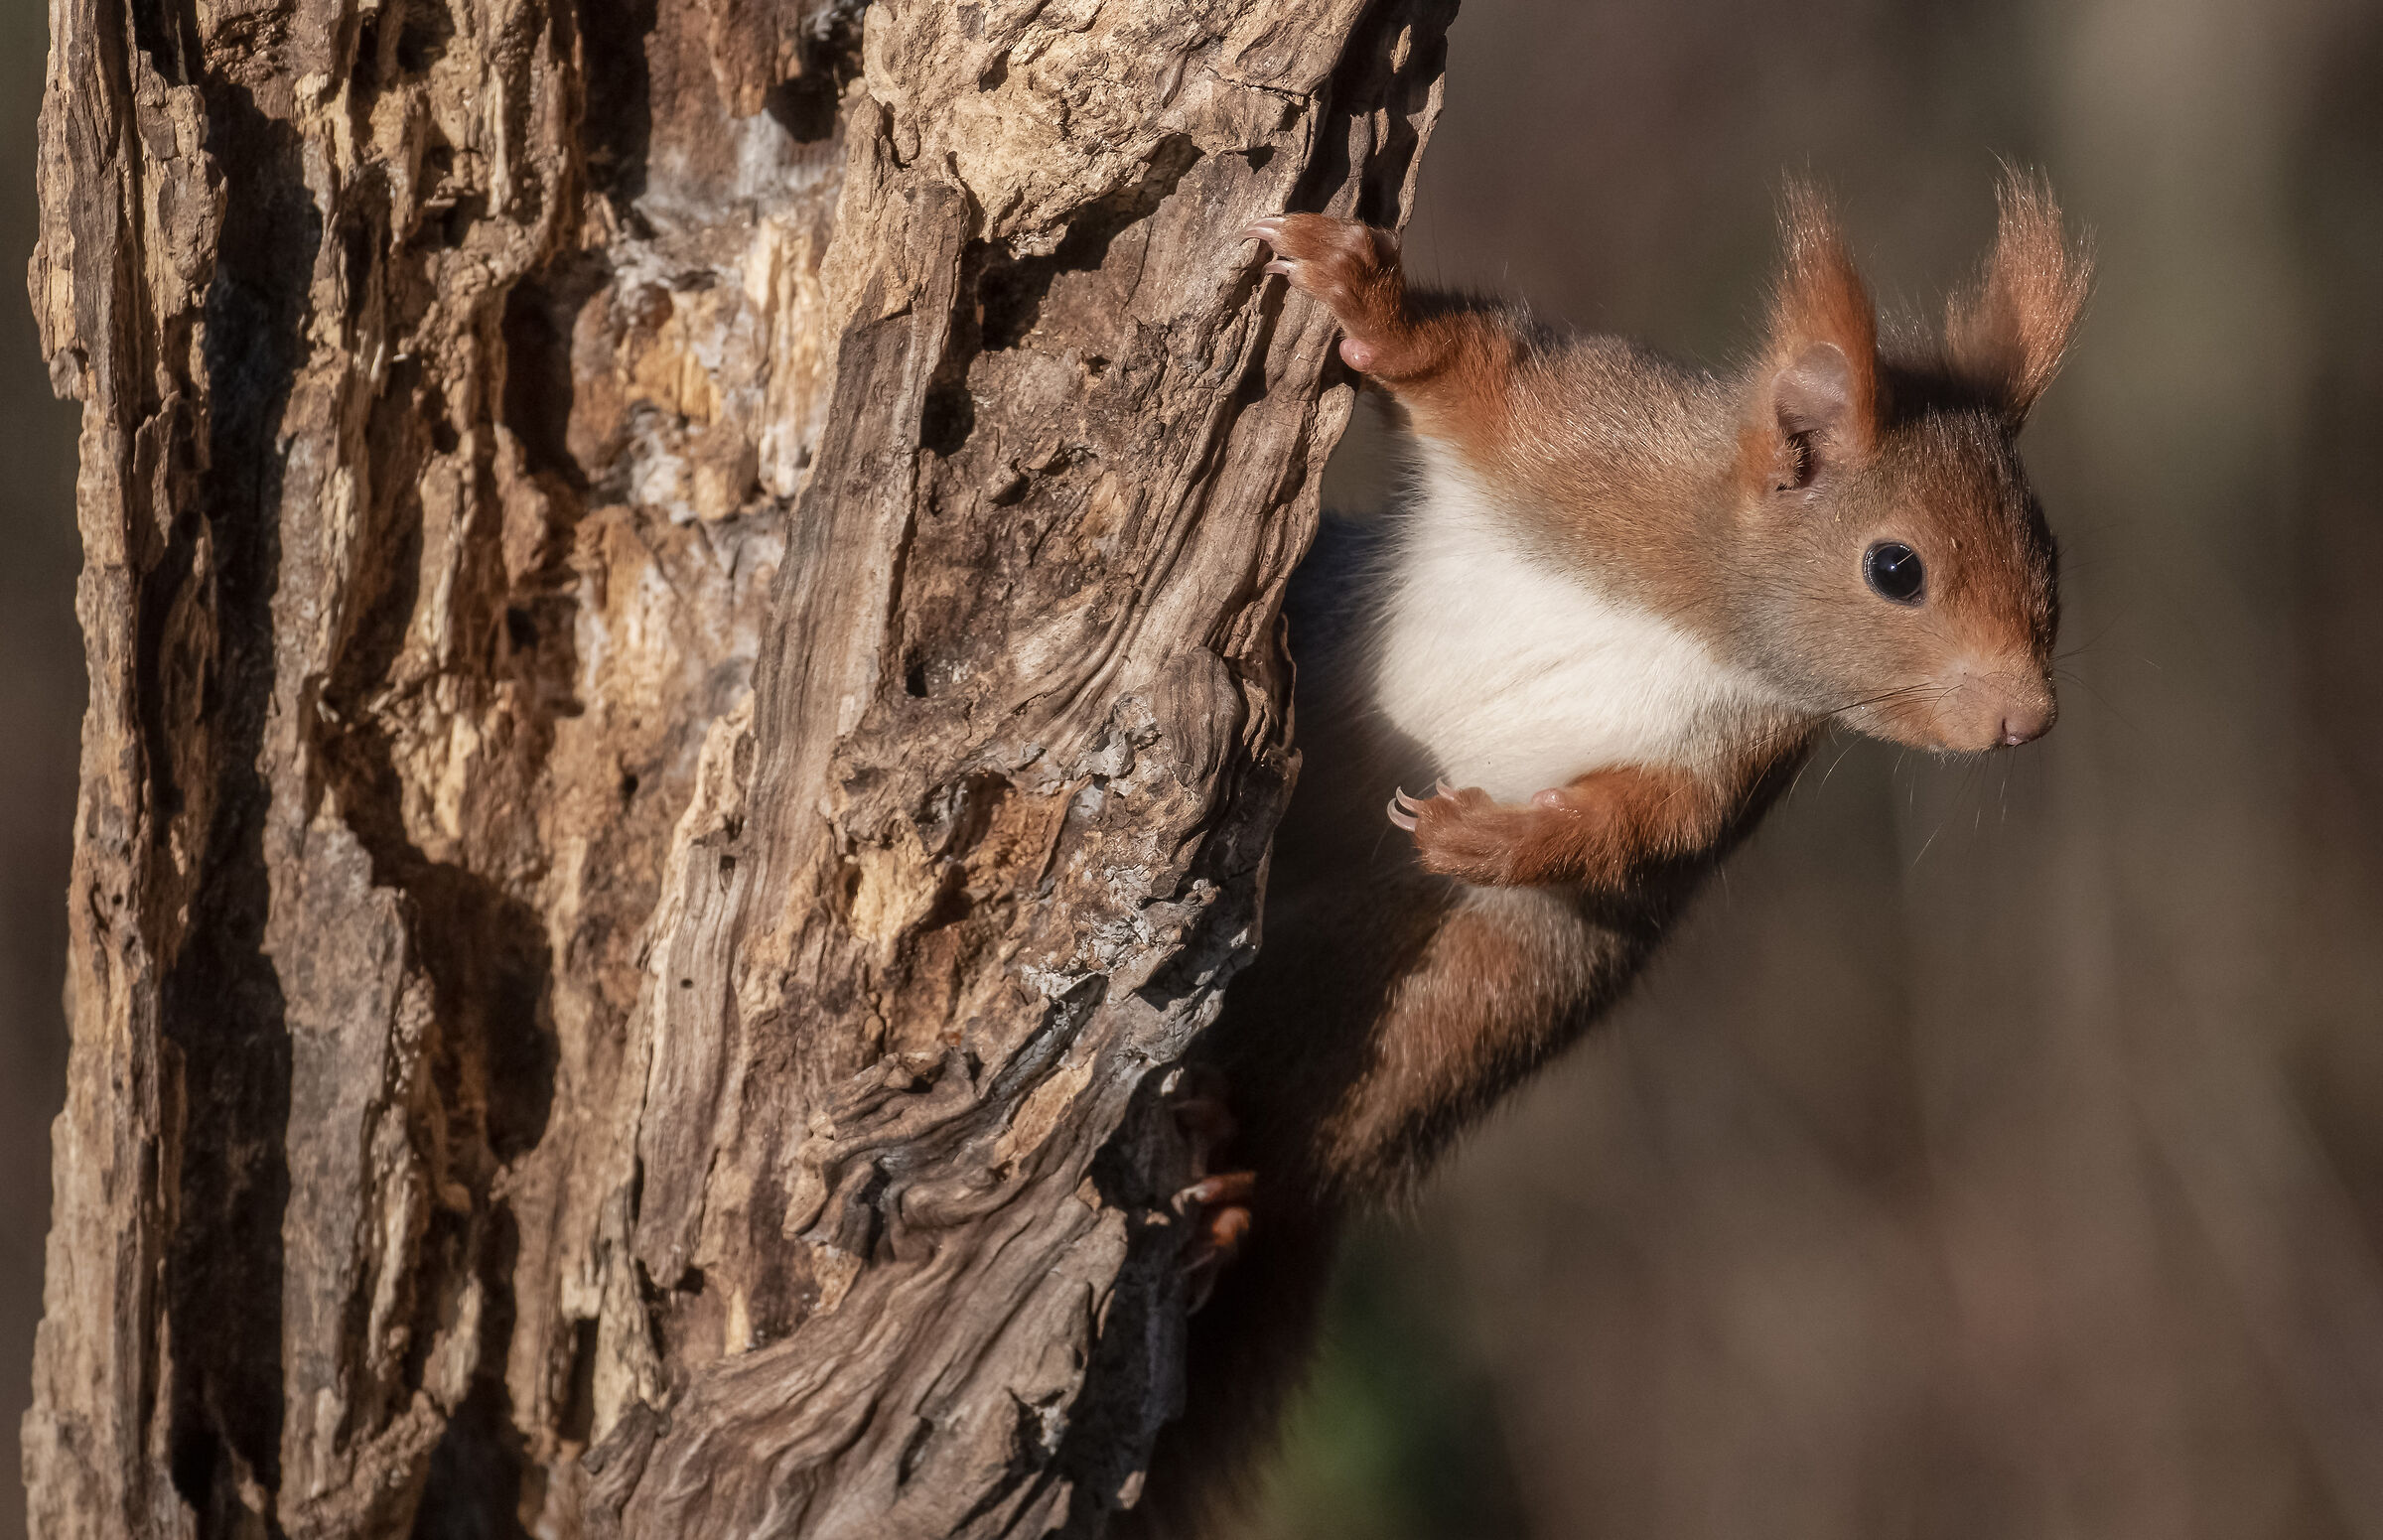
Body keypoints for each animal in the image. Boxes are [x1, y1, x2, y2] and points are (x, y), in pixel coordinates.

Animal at [1123, 173, 2091, 1538]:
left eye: (2052, 556)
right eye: (1896, 568)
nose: (2026, 721)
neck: (1697, 600)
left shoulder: (1724, 761)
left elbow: (1635, 830)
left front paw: (1496, 832)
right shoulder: (1576, 437)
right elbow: (1470, 362)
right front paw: (1367, 295)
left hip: (1440, 1012)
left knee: (1302, 1141)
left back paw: (1235, 1191)